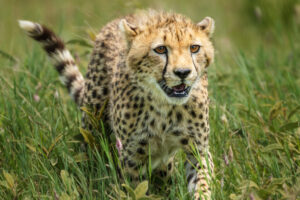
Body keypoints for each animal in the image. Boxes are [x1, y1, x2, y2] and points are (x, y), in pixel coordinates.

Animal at [18, 10, 214, 199]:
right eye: (160, 49)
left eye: (194, 48)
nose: (183, 72)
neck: (166, 106)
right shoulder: (131, 156)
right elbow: (135, 189)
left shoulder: (198, 149)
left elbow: (202, 180)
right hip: (93, 124)